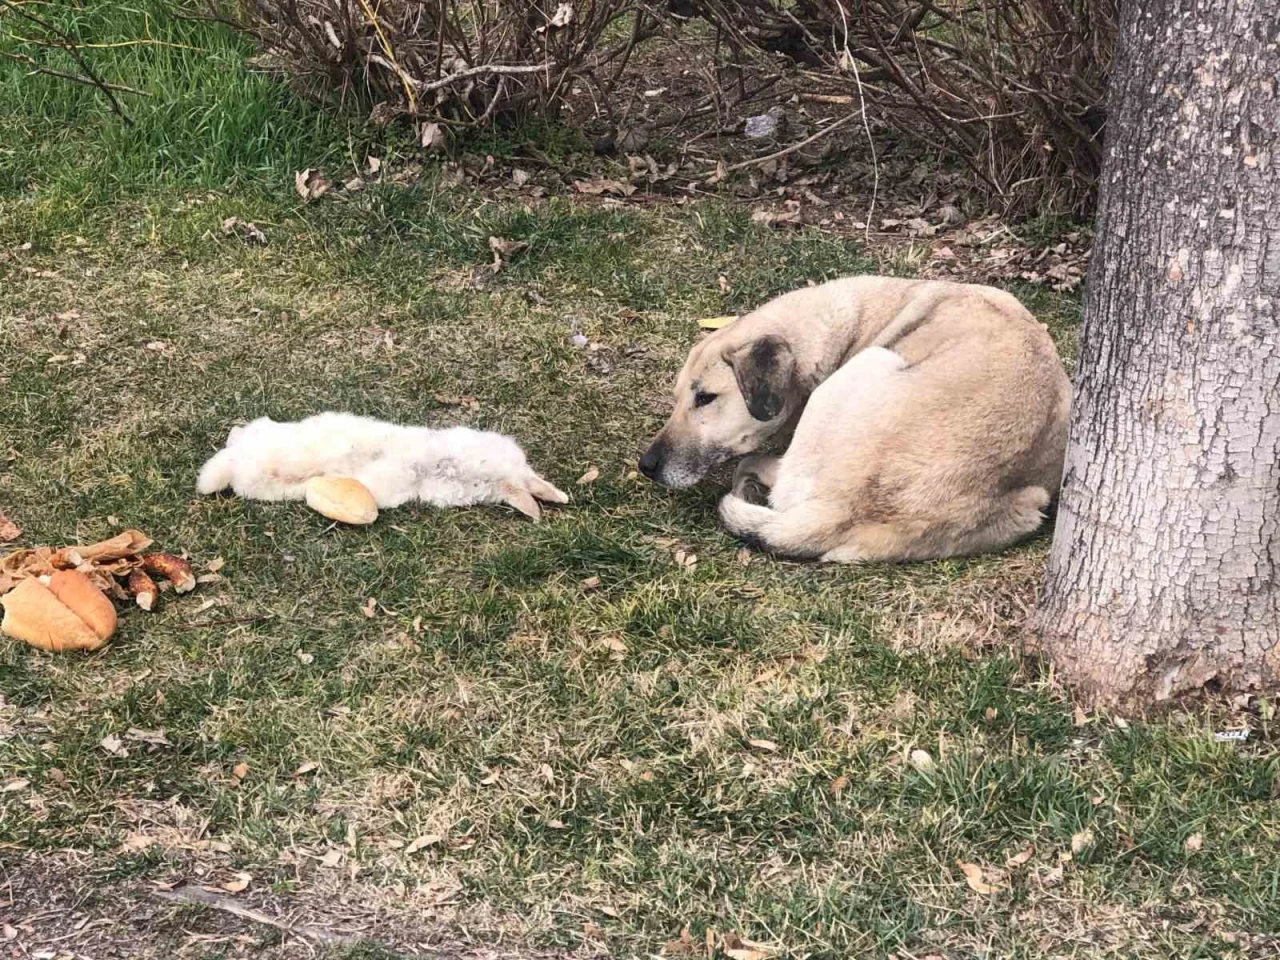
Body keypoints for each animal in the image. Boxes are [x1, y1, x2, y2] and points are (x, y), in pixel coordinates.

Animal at [640, 276, 1070, 563]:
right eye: (678, 398)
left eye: (705, 398)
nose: (646, 466)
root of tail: (845, 511)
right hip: (1030, 504)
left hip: (871, 362)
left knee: (765, 474)